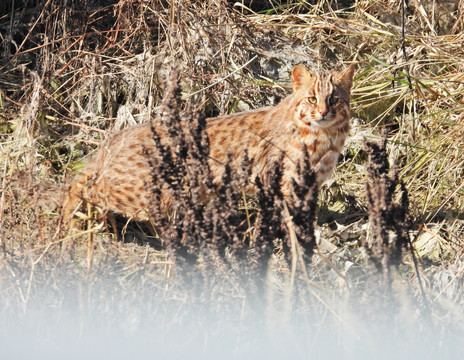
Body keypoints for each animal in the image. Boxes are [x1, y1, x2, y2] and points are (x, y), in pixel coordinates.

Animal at [62, 63, 356, 224]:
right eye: (311, 99)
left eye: (334, 99)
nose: (323, 112)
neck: (324, 136)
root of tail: (114, 138)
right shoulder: (285, 183)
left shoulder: (310, 185)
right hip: (147, 193)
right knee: (79, 186)